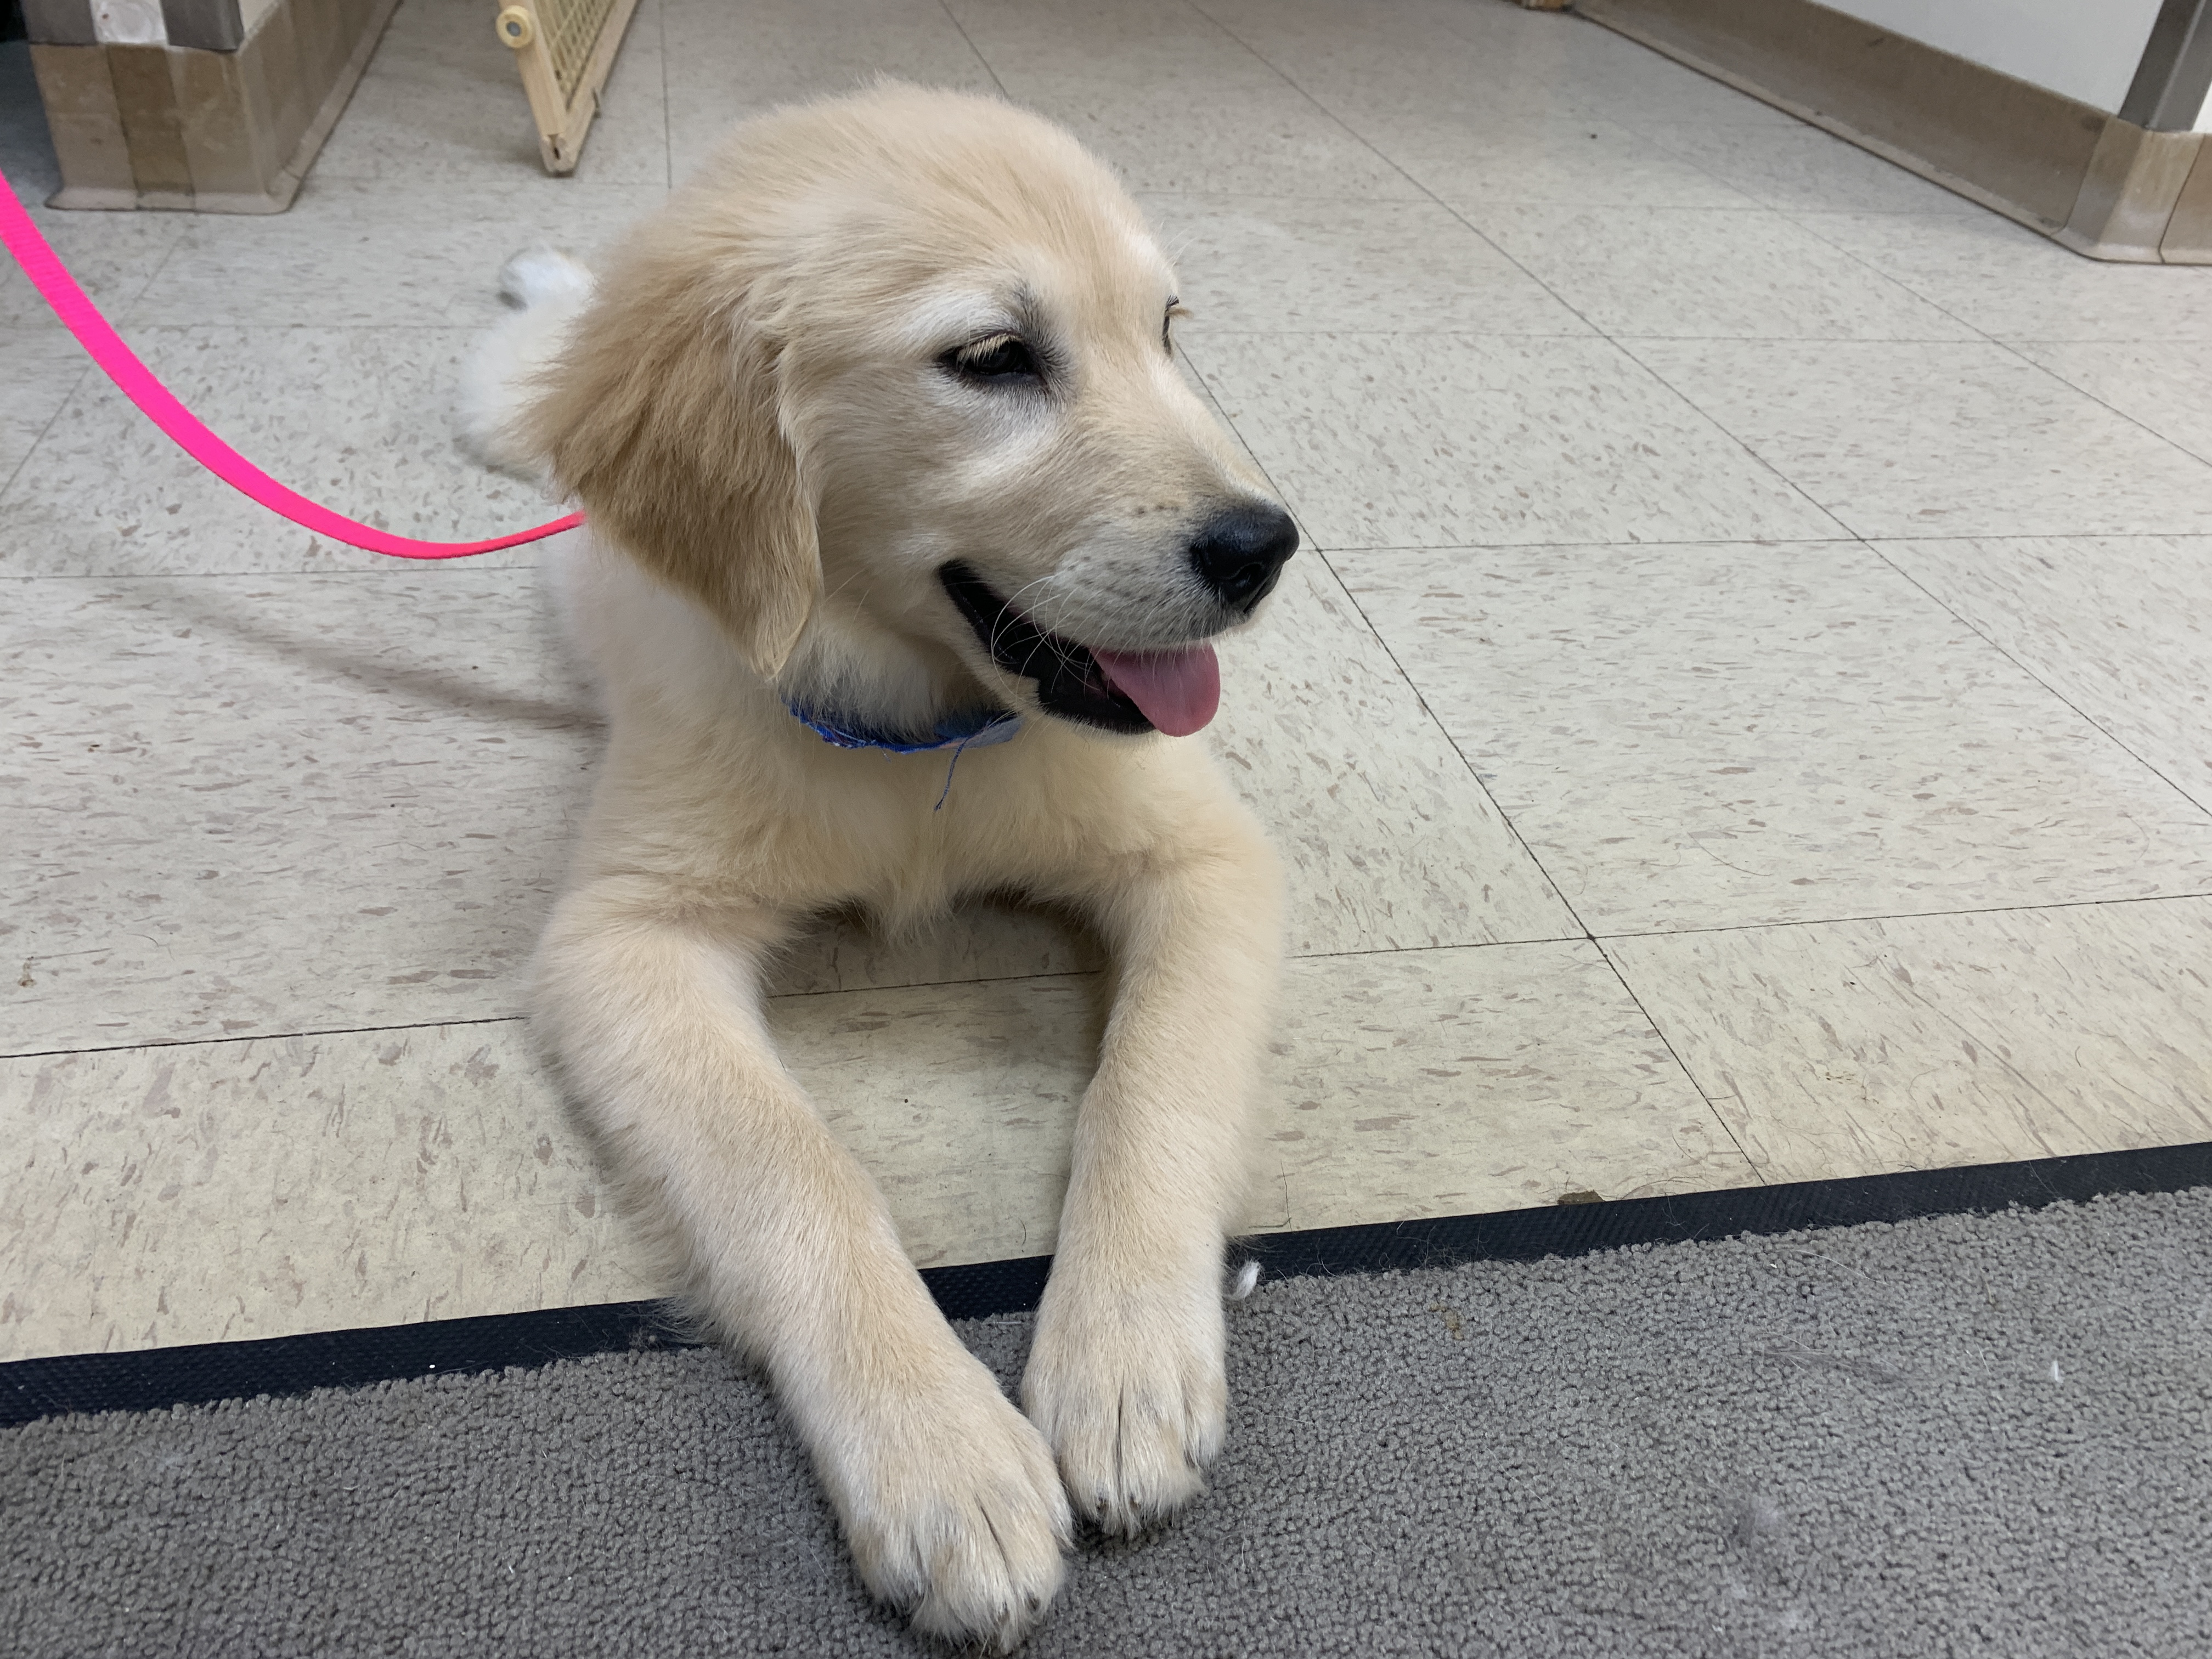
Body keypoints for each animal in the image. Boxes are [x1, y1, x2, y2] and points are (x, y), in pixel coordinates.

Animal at [466, 81, 1291, 1654]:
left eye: (1168, 332)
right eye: (993, 359)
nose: (1266, 545)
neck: (924, 735)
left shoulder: (1205, 859)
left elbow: (1147, 1089)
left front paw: (1126, 1365)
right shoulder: (625, 936)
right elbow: (795, 1169)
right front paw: (944, 1457)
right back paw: (529, 306)